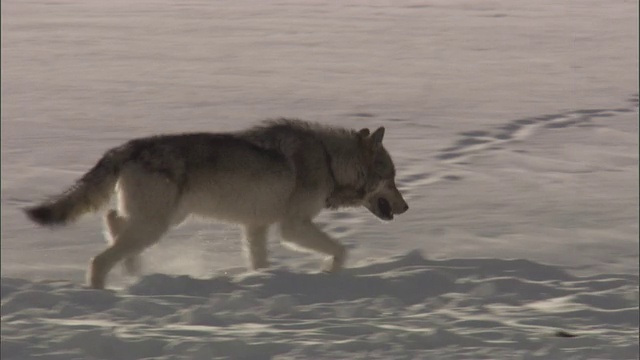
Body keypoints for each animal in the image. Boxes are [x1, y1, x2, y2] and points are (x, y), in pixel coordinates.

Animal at [25, 119, 410, 290]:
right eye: (392, 179)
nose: (406, 208)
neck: (330, 160)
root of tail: (127, 147)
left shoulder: (256, 227)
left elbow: (260, 262)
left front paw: (264, 279)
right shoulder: (293, 227)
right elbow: (341, 249)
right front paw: (330, 274)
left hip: (161, 221)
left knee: (112, 221)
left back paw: (136, 274)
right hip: (155, 224)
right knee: (100, 257)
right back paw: (103, 291)